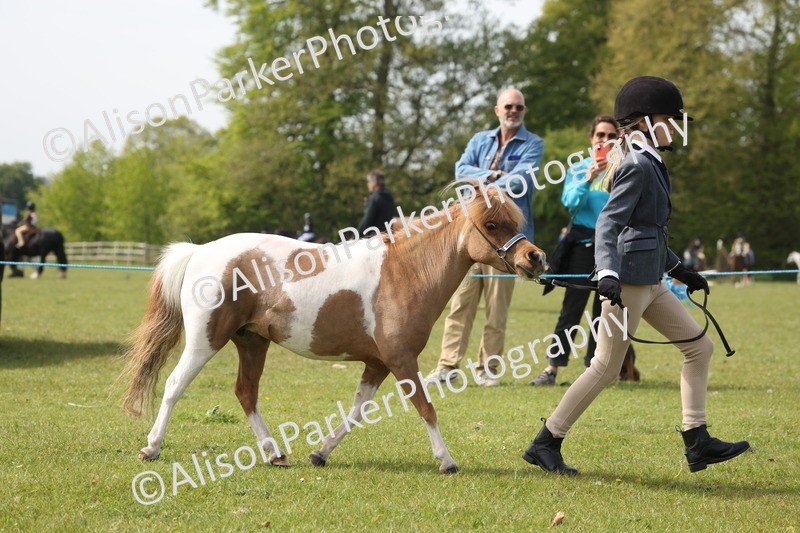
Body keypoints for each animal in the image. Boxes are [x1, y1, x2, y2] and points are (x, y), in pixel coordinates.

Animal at [121, 184, 546, 474]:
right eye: (492, 223)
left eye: (515, 220)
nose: (535, 258)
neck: (406, 272)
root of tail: (200, 251)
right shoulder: (402, 360)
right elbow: (426, 407)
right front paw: (447, 461)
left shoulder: (378, 364)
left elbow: (356, 412)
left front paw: (320, 453)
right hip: (206, 339)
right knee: (175, 385)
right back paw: (151, 447)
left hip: (252, 342)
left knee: (246, 393)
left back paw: (276, 454)